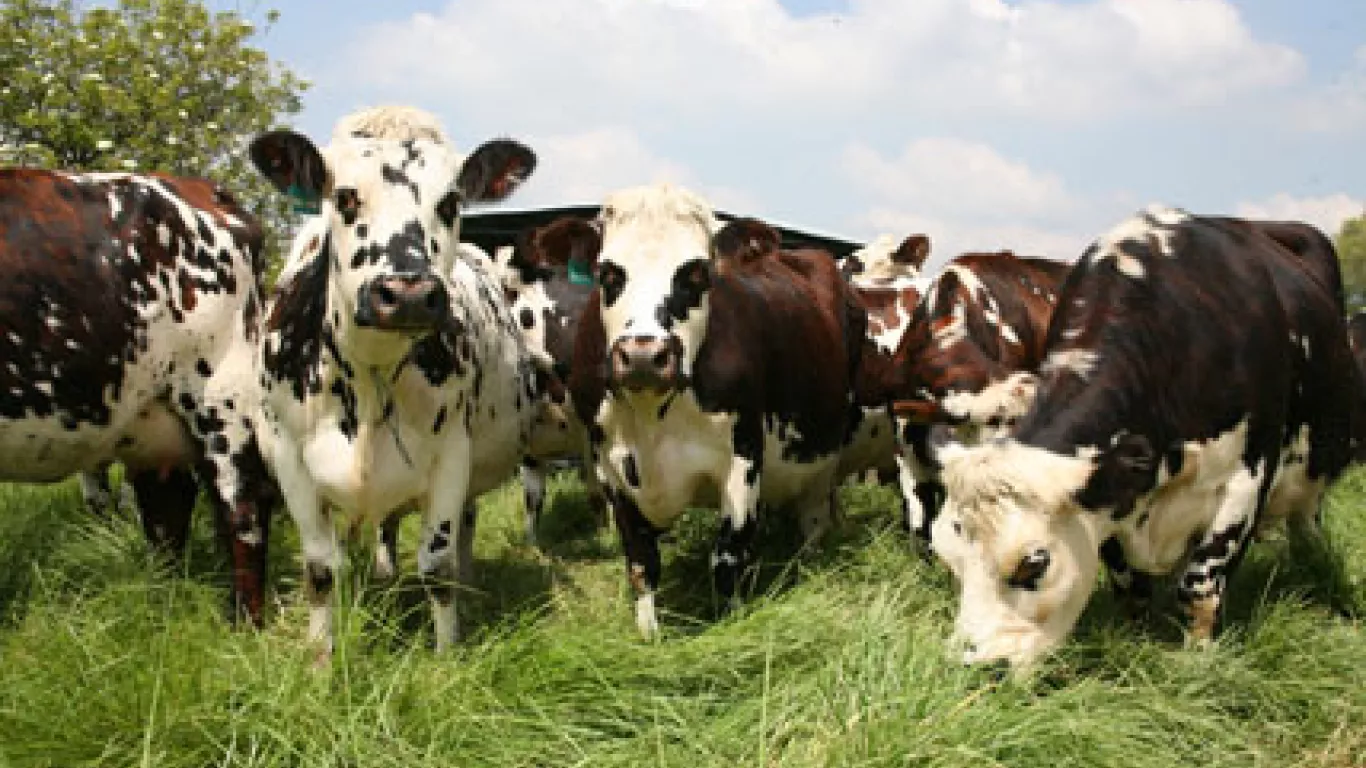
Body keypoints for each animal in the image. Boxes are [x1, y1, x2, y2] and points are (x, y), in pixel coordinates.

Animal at [0, 168, 274, 622]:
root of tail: (203, 190)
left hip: (220, 396)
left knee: (241, 507)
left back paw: (244, 625)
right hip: (147, 419)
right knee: (166, 505)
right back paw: (160, 606)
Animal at [247, 108, 540, 660]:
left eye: (450, 202)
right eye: (344, 197)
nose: (407, 293)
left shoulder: (451, 454)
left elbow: (437, 568)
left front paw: (446, 657)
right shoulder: (290, 458)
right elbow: (320, 569)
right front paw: (321, 659)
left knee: (462, 528)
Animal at [568, 189, 865, 639]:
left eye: (696, 273)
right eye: (608, 273)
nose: (643, 355)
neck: (650, 419)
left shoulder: (744, 458)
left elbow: (726, 560)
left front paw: (730, 628)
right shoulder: (611, 468)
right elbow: (640, 561)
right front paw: (649, 637)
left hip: (825, 453)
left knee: (813, 520)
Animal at [927, 207, 1358, 669]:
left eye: (1034, 564)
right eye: (950, 560)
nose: (975, 669)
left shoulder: (1247, 479)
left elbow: (1200, 587)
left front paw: (1199, 661)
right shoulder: (1114, 493)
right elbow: (1129, 584)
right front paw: (1132, 640)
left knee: (1306, 525)